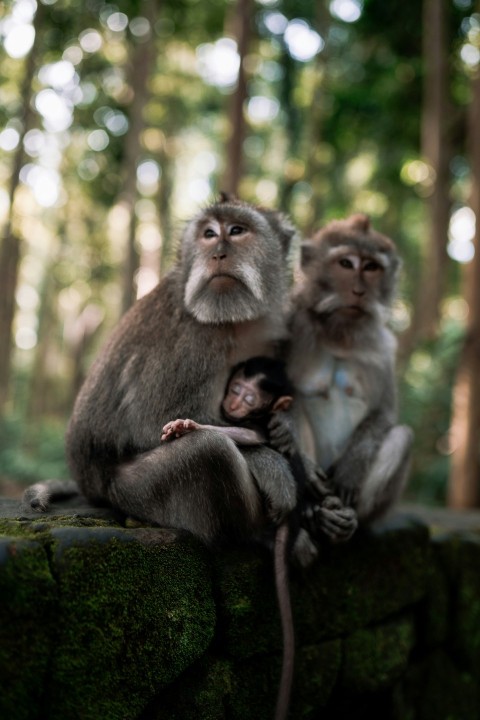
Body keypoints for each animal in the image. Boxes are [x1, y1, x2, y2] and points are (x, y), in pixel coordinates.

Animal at [23, 195, 357, 549]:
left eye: (236, 230)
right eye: (209, 234)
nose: (218, 253)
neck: (234, 320)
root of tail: (89, 483)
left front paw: (290, 434)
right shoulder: (191, 341)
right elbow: (151, 423)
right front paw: (274, 466)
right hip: (131, 493)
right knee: (208, 451)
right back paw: (260, 534)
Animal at [287, 213, 413, 533]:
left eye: (371, 267)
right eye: (346, 264)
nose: (358, 291)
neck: (339, 334)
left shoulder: (383, 347)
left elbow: (383, 413)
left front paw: (351, 468)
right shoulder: (289, 322)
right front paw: (305, 468)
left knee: (402, 436)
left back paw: (348, 518)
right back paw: (313, 509)